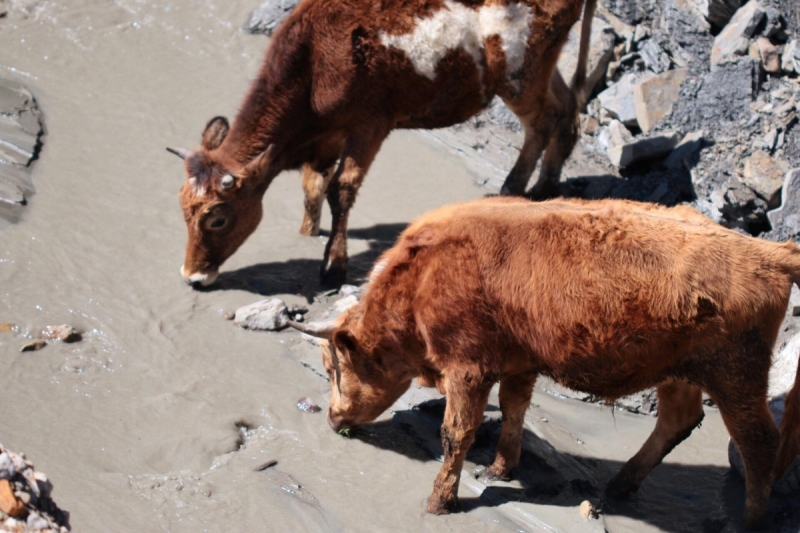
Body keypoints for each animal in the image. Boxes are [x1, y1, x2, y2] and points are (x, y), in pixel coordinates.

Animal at [169, 0, 596, 286]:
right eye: (182, 210)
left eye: (218, 218)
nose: (191, 276)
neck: (313, 64)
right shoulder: (327, 133)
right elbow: (313, 185)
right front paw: (307, 235)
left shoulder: (370, 124)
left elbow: (340, 189)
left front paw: (333, 266)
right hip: (541, 69)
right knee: (566, 109)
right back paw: (546, 185)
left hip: (520, 73)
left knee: (543, 122)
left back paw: (517, 188)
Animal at [292, 197, 800, 528]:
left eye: (334, 368)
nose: (334, 419)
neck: (422, 277)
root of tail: (770, 252)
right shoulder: (518, 362)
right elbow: (513, 409)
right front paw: (500, 468)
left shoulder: (467, 368)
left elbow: (456, 434)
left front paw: (440, 501)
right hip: (681, 371)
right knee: (679, 419)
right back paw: (621, 485)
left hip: (735, 376)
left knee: (758, 442)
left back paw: (747, 522)